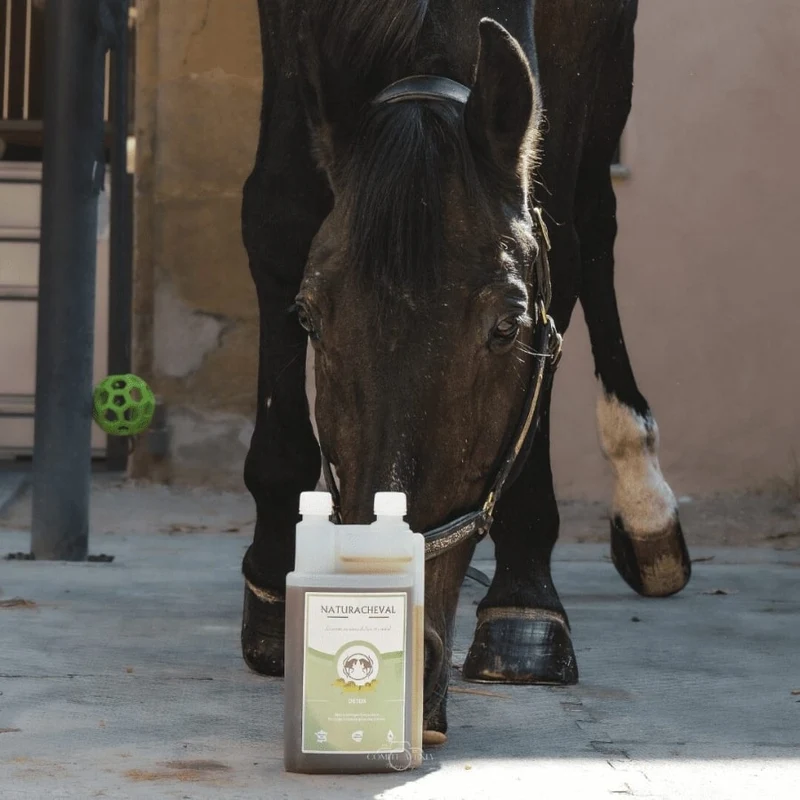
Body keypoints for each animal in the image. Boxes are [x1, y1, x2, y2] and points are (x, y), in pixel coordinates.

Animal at [240, 0, 691, 743]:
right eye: (307, 316)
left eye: (509, 326)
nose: (407, 655)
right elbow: (278, 213)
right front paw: (277, 583)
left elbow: (560, 239)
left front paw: (526, 602)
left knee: (595, 216)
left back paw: (645, 499)